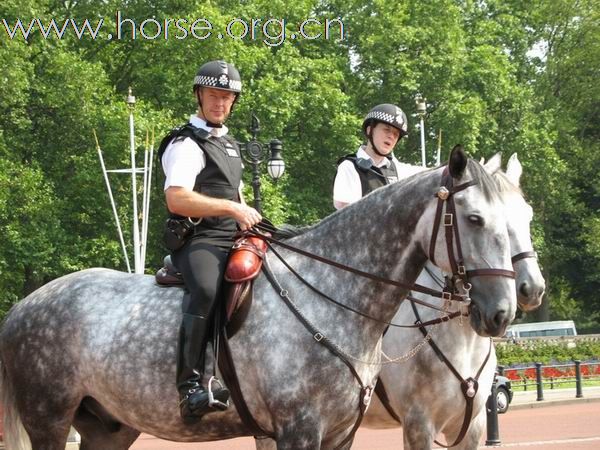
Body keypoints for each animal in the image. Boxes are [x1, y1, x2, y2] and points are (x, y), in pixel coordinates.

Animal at [0, 146, 516, 448]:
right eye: (473, 219)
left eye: (517, 217)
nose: (505, 309)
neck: (332, 295)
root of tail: (22, 307)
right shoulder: (302, 430)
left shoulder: (340, 433)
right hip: (49, 419)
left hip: (110, 426)